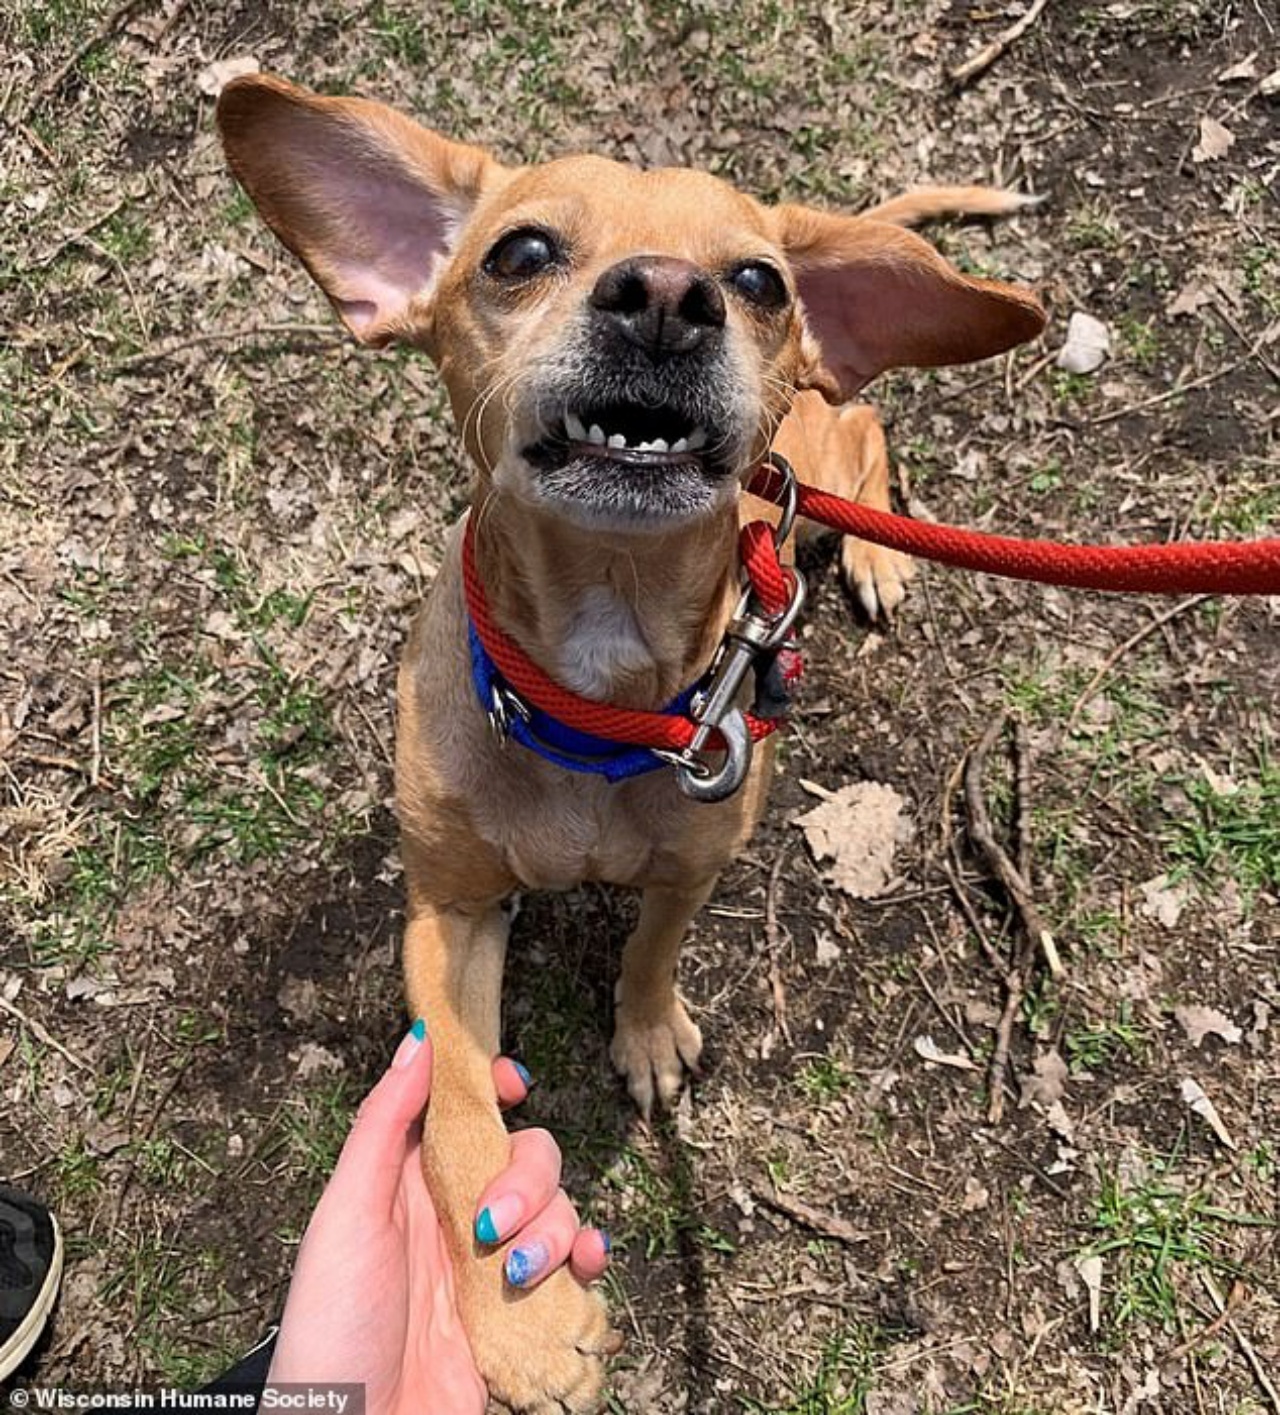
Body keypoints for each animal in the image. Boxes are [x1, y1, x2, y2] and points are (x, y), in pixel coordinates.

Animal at [214, 80, 1046, 1415]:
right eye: (519, 253)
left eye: (756, 281)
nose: (664, 295)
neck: (598, 692)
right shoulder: (448, 914)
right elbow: (455, 1111)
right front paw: (518, 1316)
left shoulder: (695, 862)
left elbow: (652, 948)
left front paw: (648, 1037)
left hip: (816, 450)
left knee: (864, 426)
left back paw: (877, 550)